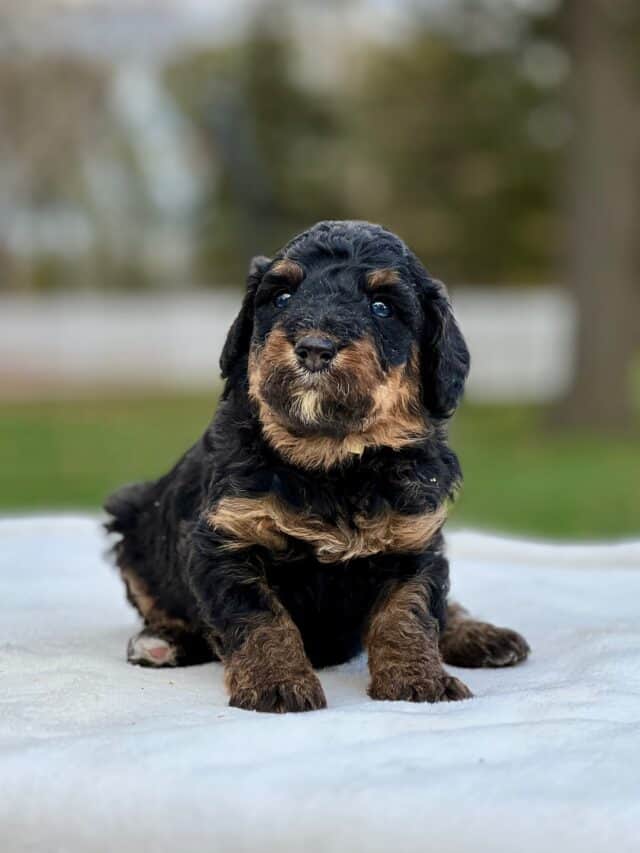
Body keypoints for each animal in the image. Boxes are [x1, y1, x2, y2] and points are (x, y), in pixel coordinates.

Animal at [105, 220, 528, 712]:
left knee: (448, 606)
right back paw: (162, 641)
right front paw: (277, 683)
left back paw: (481, 635)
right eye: (282, 297)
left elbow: (410, 613)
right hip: (134, 521)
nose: (313, 348)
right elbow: (261, 617)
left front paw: (418, 680)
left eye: (382, 307)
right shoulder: (225, 540)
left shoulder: (414, 542)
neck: (332, 461)